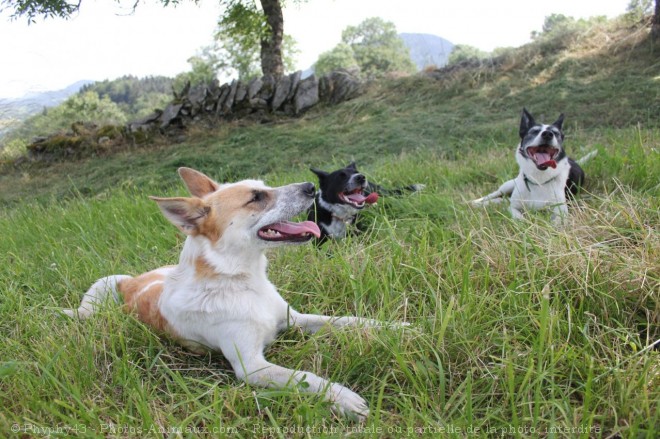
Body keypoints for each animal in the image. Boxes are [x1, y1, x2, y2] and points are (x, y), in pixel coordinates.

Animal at [65, 168, 398, 420]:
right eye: (256, 197)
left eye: (264, 186)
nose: (309, 186)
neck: (242, 282)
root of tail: (130, 283)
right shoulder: (251, 367)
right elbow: (305, 377)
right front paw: (343, 398)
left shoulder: (296, 319)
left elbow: (350, 321)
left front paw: (397, 328)